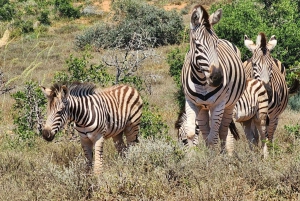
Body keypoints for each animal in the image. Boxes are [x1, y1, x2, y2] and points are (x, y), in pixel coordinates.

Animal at [180, 4, 246, 152]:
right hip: (203, 109)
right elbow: (192, 134)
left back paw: (225, 154)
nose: (217, 78)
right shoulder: (191, 103)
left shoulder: (218, 105)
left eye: (216, 43)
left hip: (229, 105)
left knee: (223, 132)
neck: (201, 81)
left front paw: (215, 158)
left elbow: (213, 138)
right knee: (206, 132)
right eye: (198, 45)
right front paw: (193, 157)